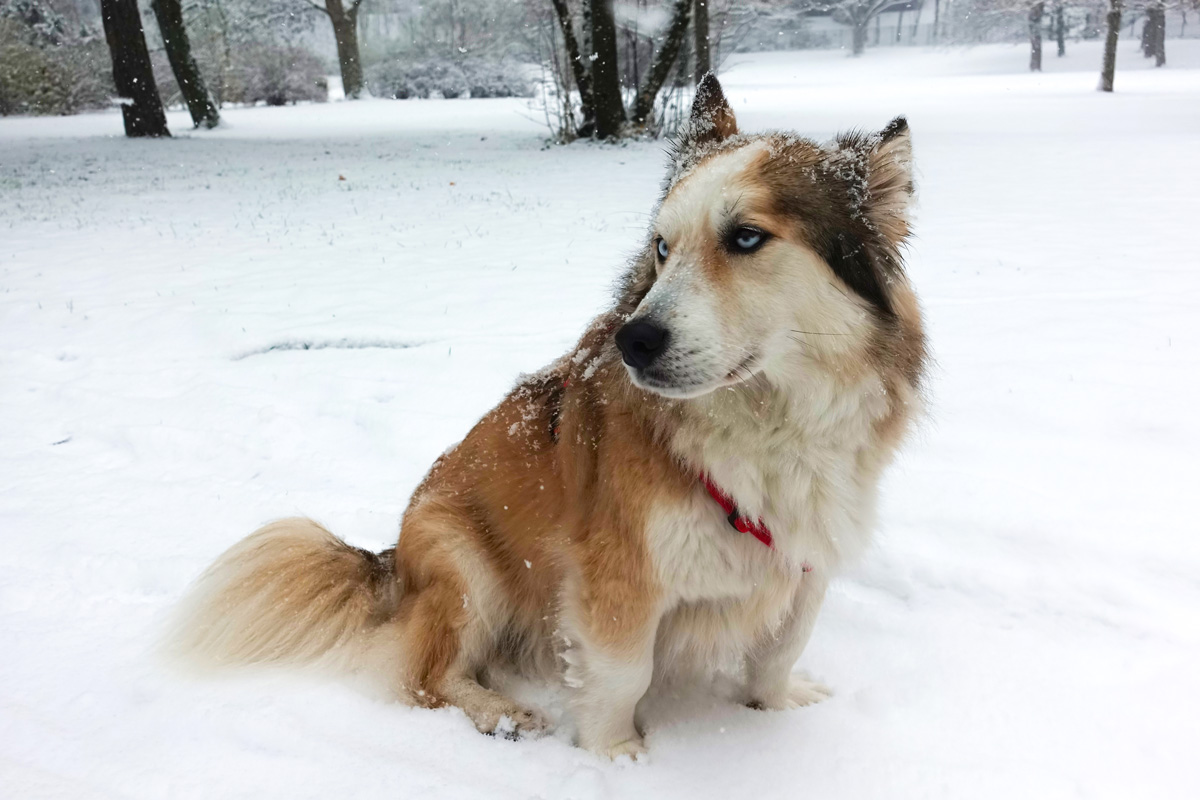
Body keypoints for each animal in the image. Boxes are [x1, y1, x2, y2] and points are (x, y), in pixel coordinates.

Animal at [169, 76, 921, 762]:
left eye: (745, 238)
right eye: (662, 247)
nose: (633, 341)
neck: (768, 422)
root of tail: (388, 562)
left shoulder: (807, 556)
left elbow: (780, 648)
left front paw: (777, 707)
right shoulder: (618, 573)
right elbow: (623, 671)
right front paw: (617, 755)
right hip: (466, 570)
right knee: (427, 678)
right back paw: (499, 712)